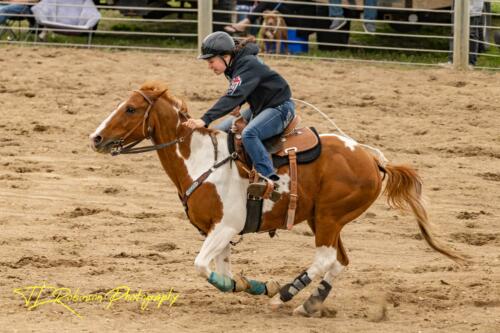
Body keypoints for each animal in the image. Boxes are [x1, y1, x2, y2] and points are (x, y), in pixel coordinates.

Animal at [89, 81, 460, 316]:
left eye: (131, 109)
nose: (96, 138)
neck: (202, 160)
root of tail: (371, 159)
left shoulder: (224, 227)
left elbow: (201, 265)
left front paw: (261, 287)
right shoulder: (218, 231)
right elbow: (221, 268)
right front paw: (246, 284)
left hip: (329, 218)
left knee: (325, 259)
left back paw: (284, 296)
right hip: (323, 219)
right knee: (340, 261)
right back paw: (309, 304)